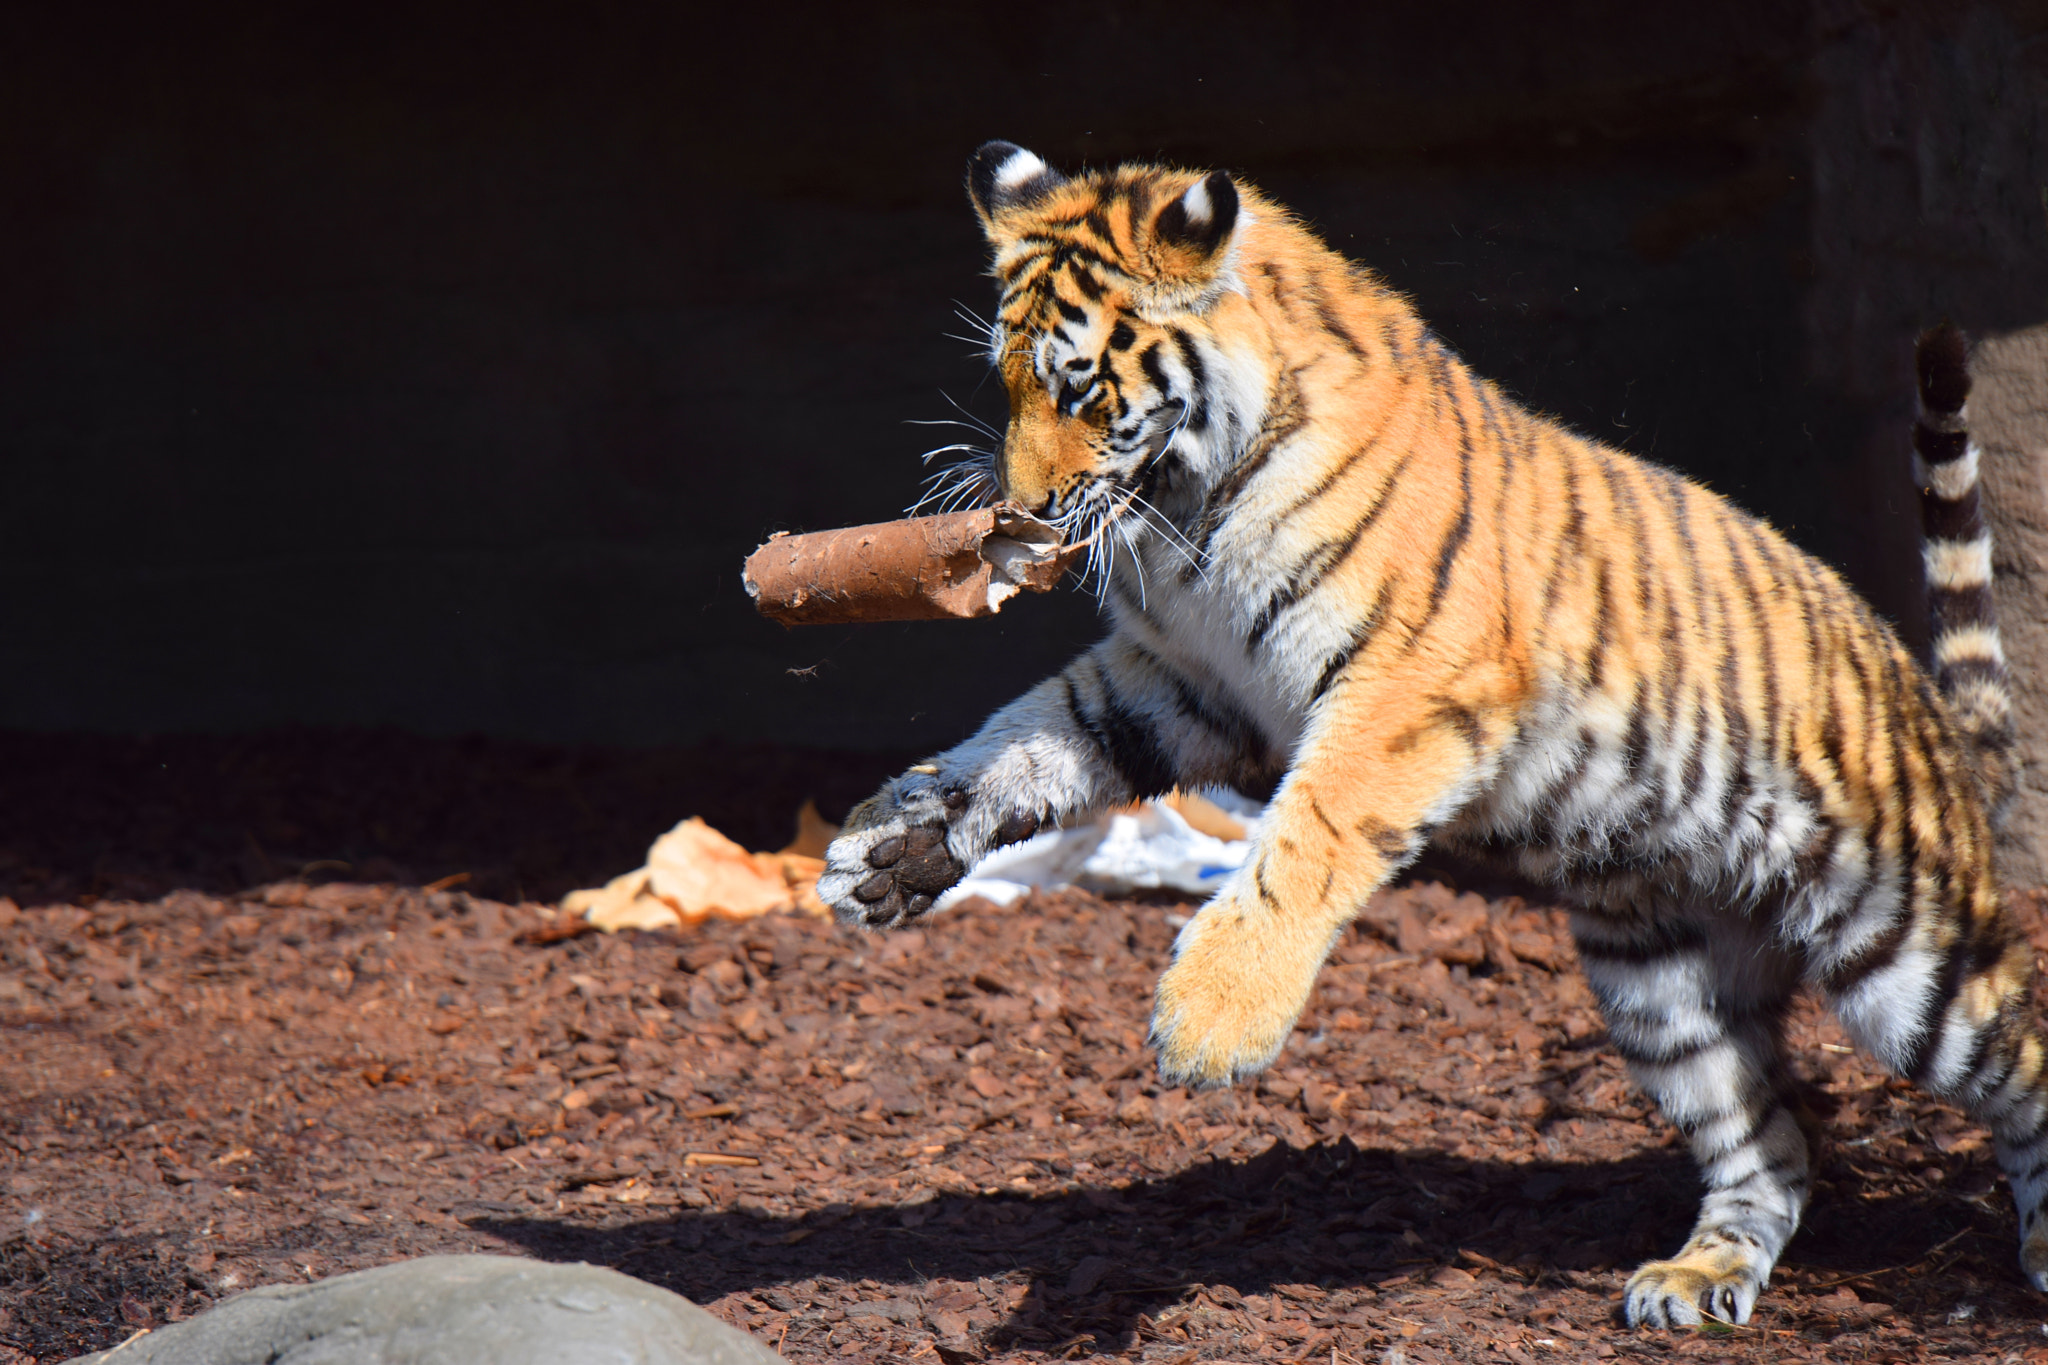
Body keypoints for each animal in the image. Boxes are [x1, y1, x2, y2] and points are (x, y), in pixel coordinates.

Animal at [815, 141, 2040, 1329]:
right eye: (1007, 379)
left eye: (1080, 386)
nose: (1017, 515)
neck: (1188, 509)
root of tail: (1929, 712)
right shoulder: (1179, 681)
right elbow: (1026, 743)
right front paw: (889, 849)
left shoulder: (1403, 688)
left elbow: (1303, 842)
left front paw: (1213, 1019)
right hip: (1658, 984)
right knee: (1768, 1142)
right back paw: (1698, 1276)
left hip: (1897, 947)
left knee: (2019, 1060)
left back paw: (2031, 1249)